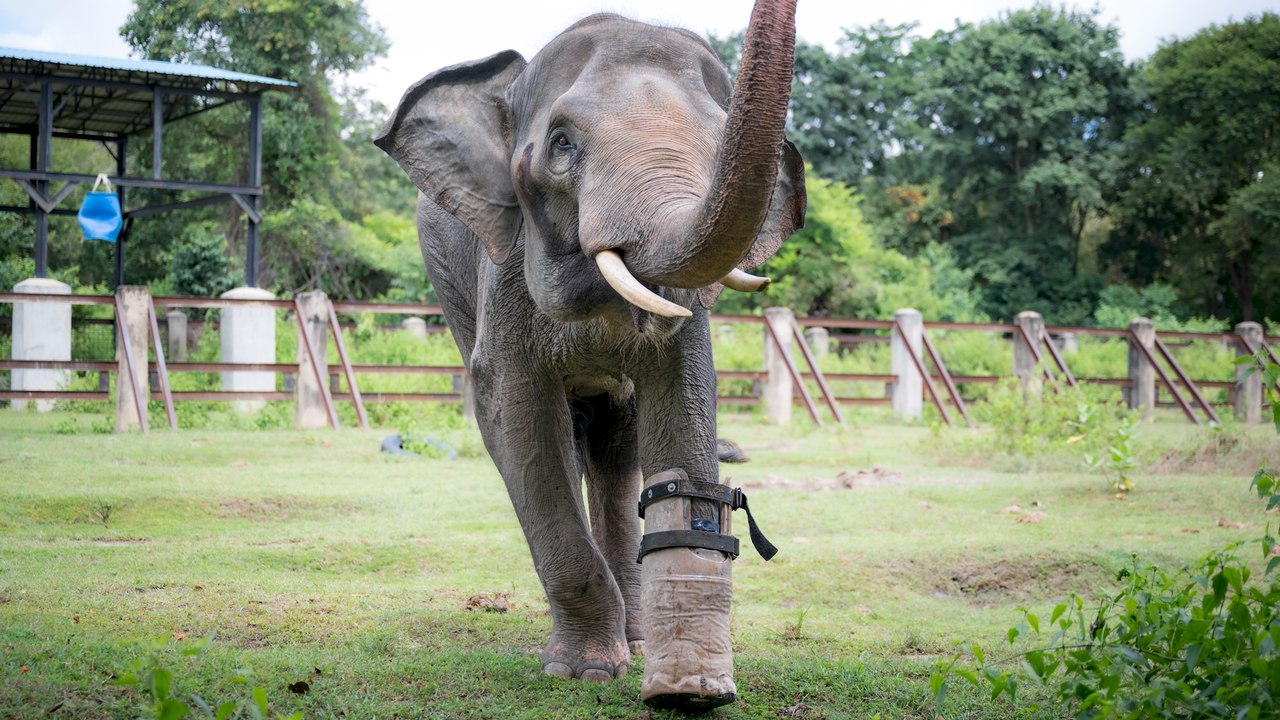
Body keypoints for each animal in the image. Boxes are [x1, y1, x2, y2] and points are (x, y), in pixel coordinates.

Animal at [375, 0, 804, 686]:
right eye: (561, 144)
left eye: (721, 145)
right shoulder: (506, 271)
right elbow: (516, 413)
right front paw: (582, 672)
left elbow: (681, 403)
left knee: (615, 443)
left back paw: (638, 637)